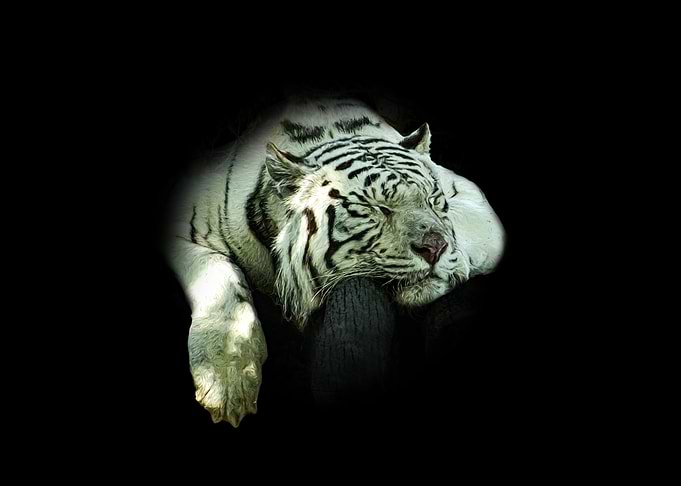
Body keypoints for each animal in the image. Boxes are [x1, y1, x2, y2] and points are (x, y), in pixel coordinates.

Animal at [163, 96, 505, 427]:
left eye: (434, 201)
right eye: (376, 208)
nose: (435, 247)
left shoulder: (471, 196)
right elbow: (216, 272)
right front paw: (227, 380)